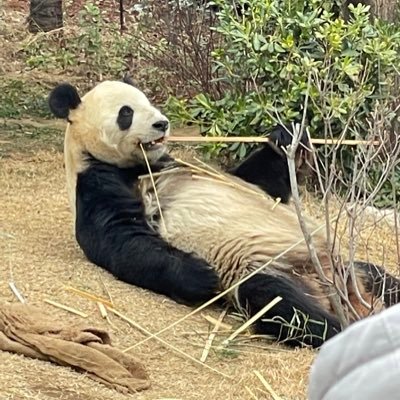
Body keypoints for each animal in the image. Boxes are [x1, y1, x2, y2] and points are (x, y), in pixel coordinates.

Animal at [48, 77, 400, 346]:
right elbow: (122, 240)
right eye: (126, 113)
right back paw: (349, 330)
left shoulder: (192, 167)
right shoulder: (98, 181)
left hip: (349, 268)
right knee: (285, 304)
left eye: (148, 102)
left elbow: (260, 180)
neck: (139, 165)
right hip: (268, 270)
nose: (162, 123)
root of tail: (344, 296)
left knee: (382, 279)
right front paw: (201, 274)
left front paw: (287, 135)